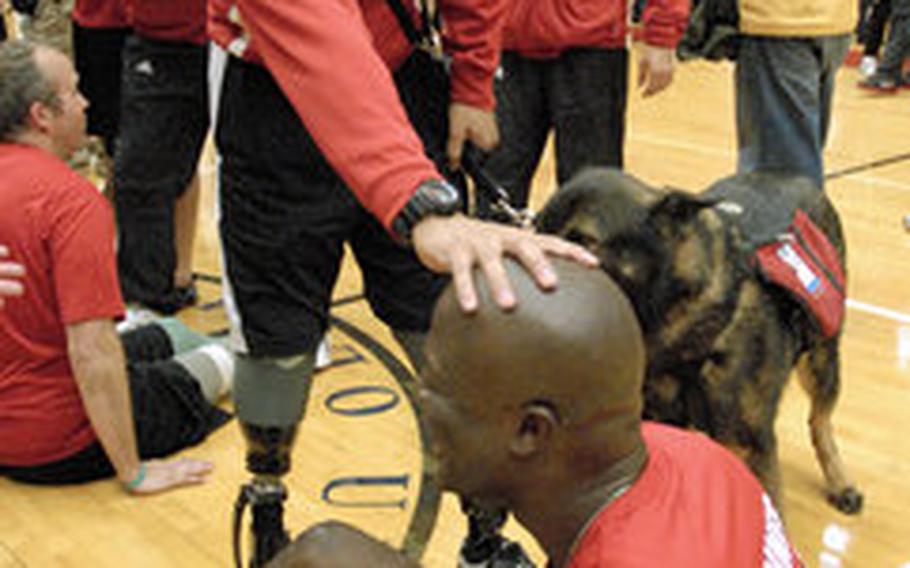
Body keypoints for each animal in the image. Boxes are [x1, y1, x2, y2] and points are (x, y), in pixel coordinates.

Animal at [536, 168, 864, 516]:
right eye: (536, 228)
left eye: (583, 241)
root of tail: (791, 176)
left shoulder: (749, 447)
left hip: (821, 360)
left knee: (820, 422)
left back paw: (840, 481)